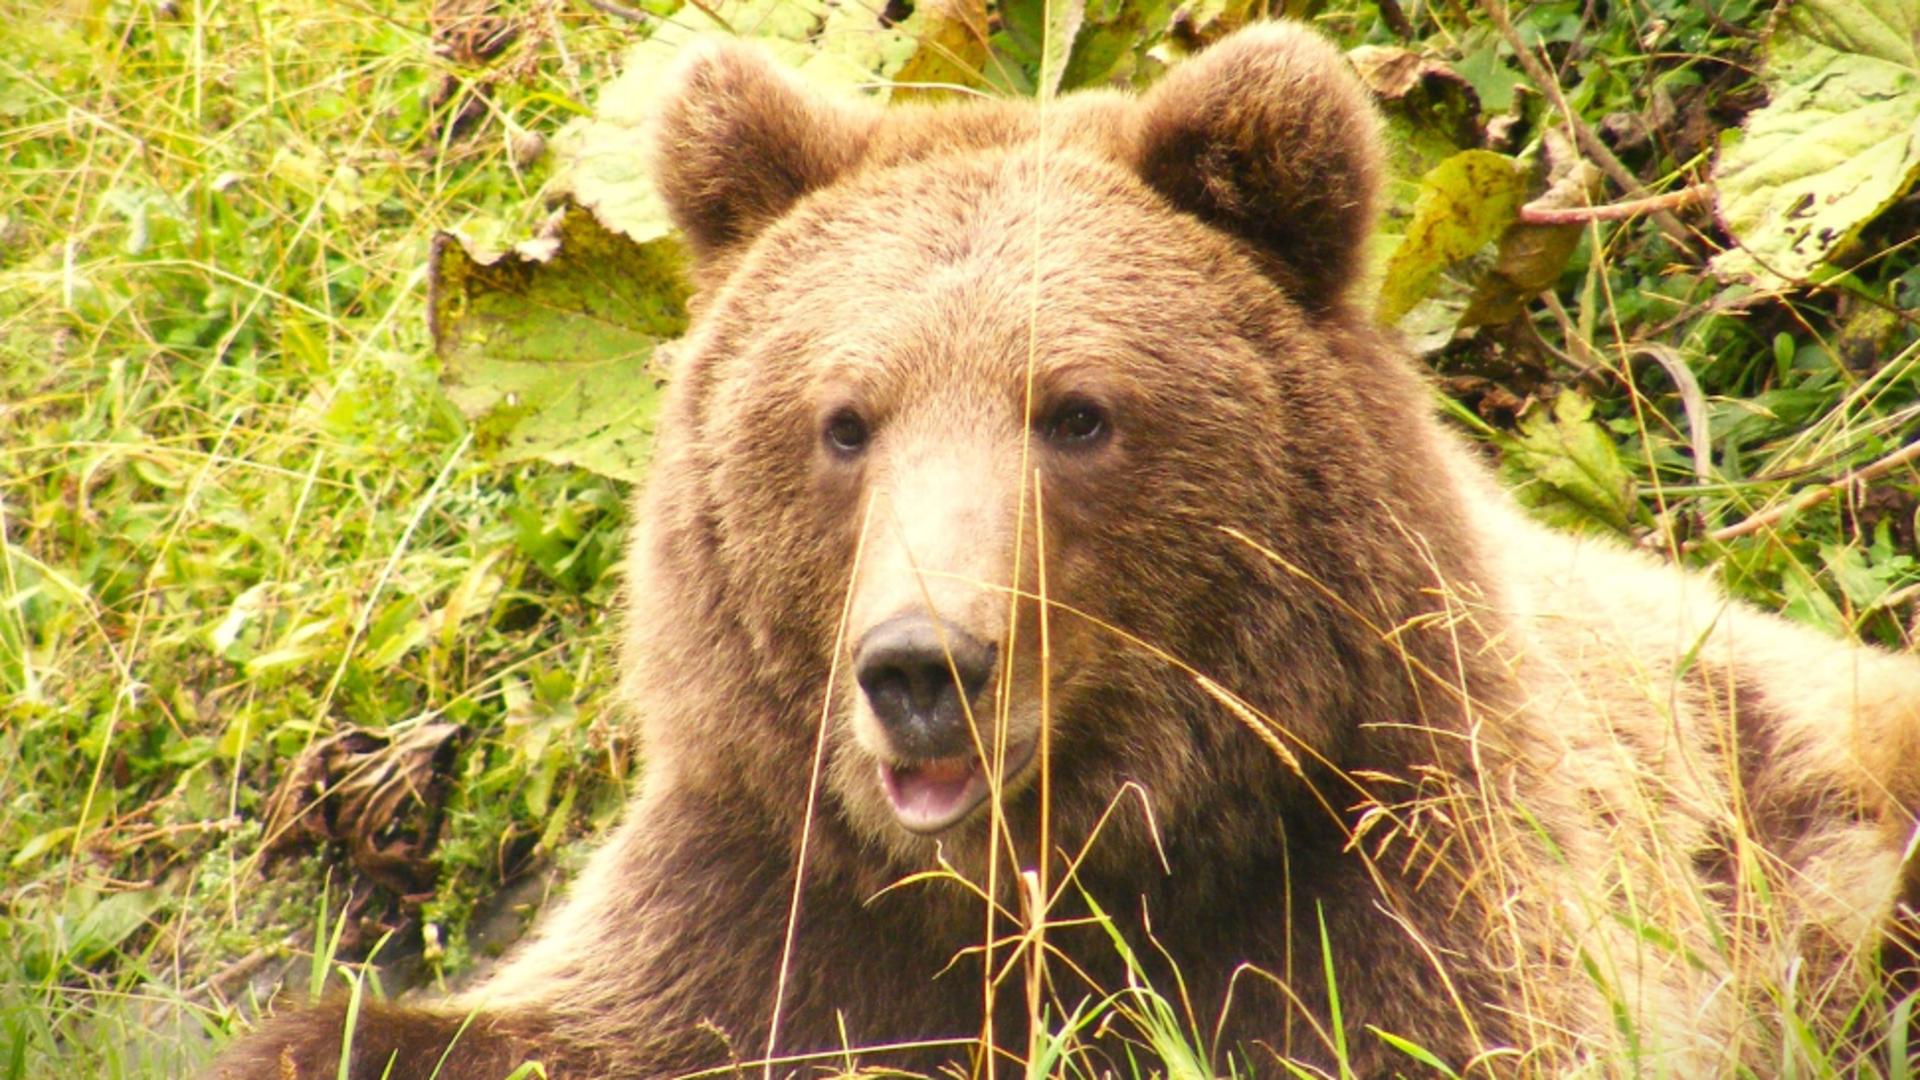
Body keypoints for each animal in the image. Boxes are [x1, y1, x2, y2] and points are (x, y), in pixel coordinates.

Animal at [210, 18, 1920, 1076]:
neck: (1058, 873)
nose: (921, 668)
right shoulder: (782, 902)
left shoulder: (1411, 891)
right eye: (845, 421)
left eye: (1078, 412)